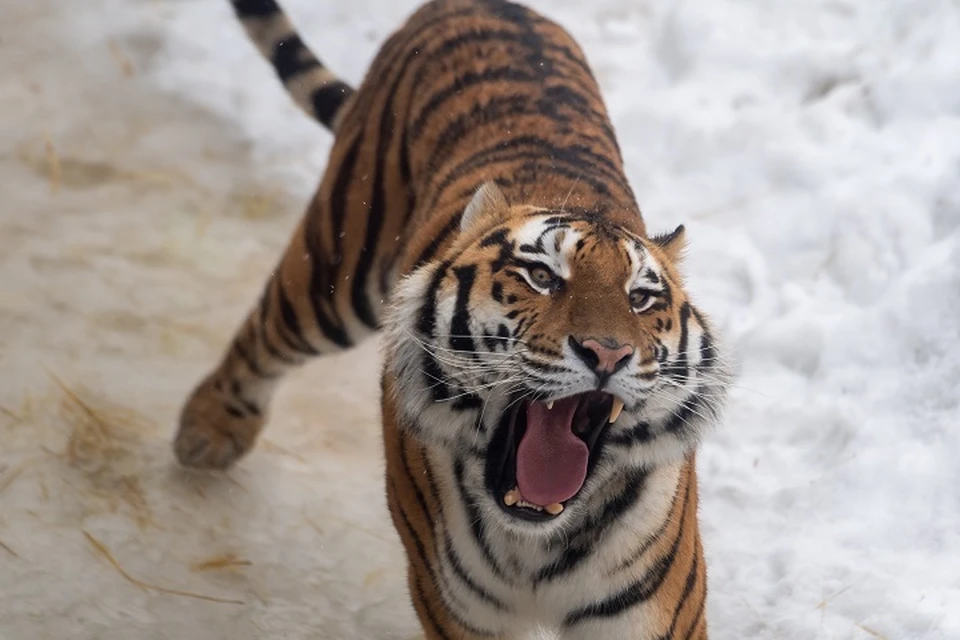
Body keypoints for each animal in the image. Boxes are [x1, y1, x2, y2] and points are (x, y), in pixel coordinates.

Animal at [174, 0, 728, 636]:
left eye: (640, 299)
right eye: (542, 277)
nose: (608, 352)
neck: (536, 540)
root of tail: (487, 4)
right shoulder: (455, 609)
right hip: (339, 265)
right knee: (269, 328)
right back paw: (208, 431)